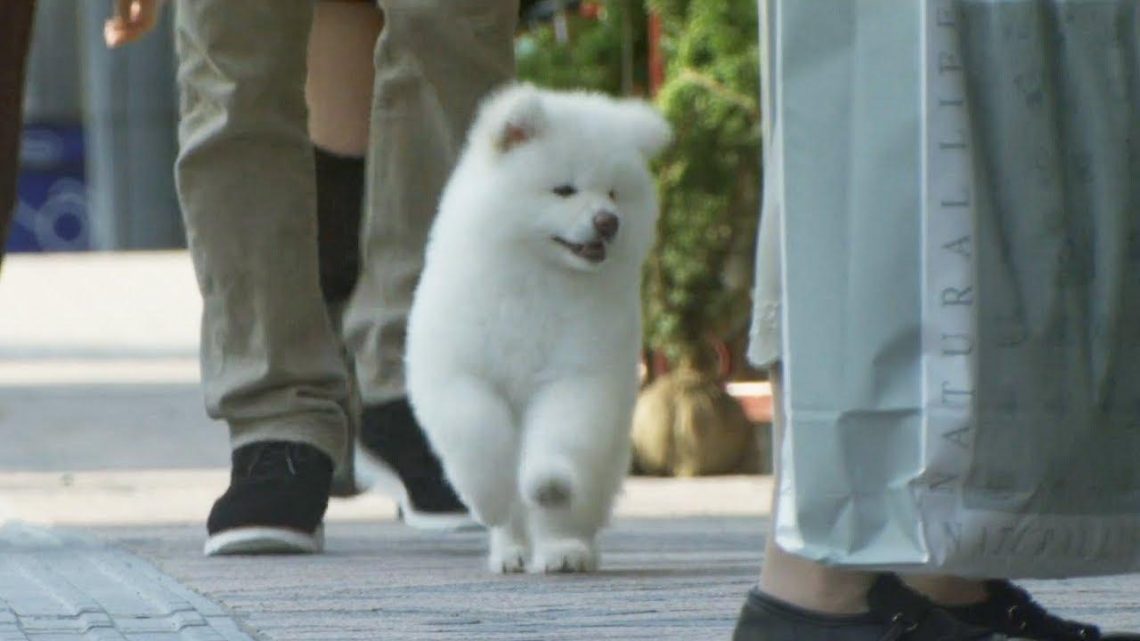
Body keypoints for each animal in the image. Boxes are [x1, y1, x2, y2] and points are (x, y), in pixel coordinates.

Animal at [408, 82, 670, 570]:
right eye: (563, 190)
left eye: (614, 193)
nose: (608, 221)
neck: (538, 276)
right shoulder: (457, 372)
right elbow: (478, 429)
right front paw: (489, 496)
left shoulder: (576, 374)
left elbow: (558, 436)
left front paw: (548, 482)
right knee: (513, 521)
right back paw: (510, 552)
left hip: (606, 459)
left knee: (567, 514)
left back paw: (565, 551)